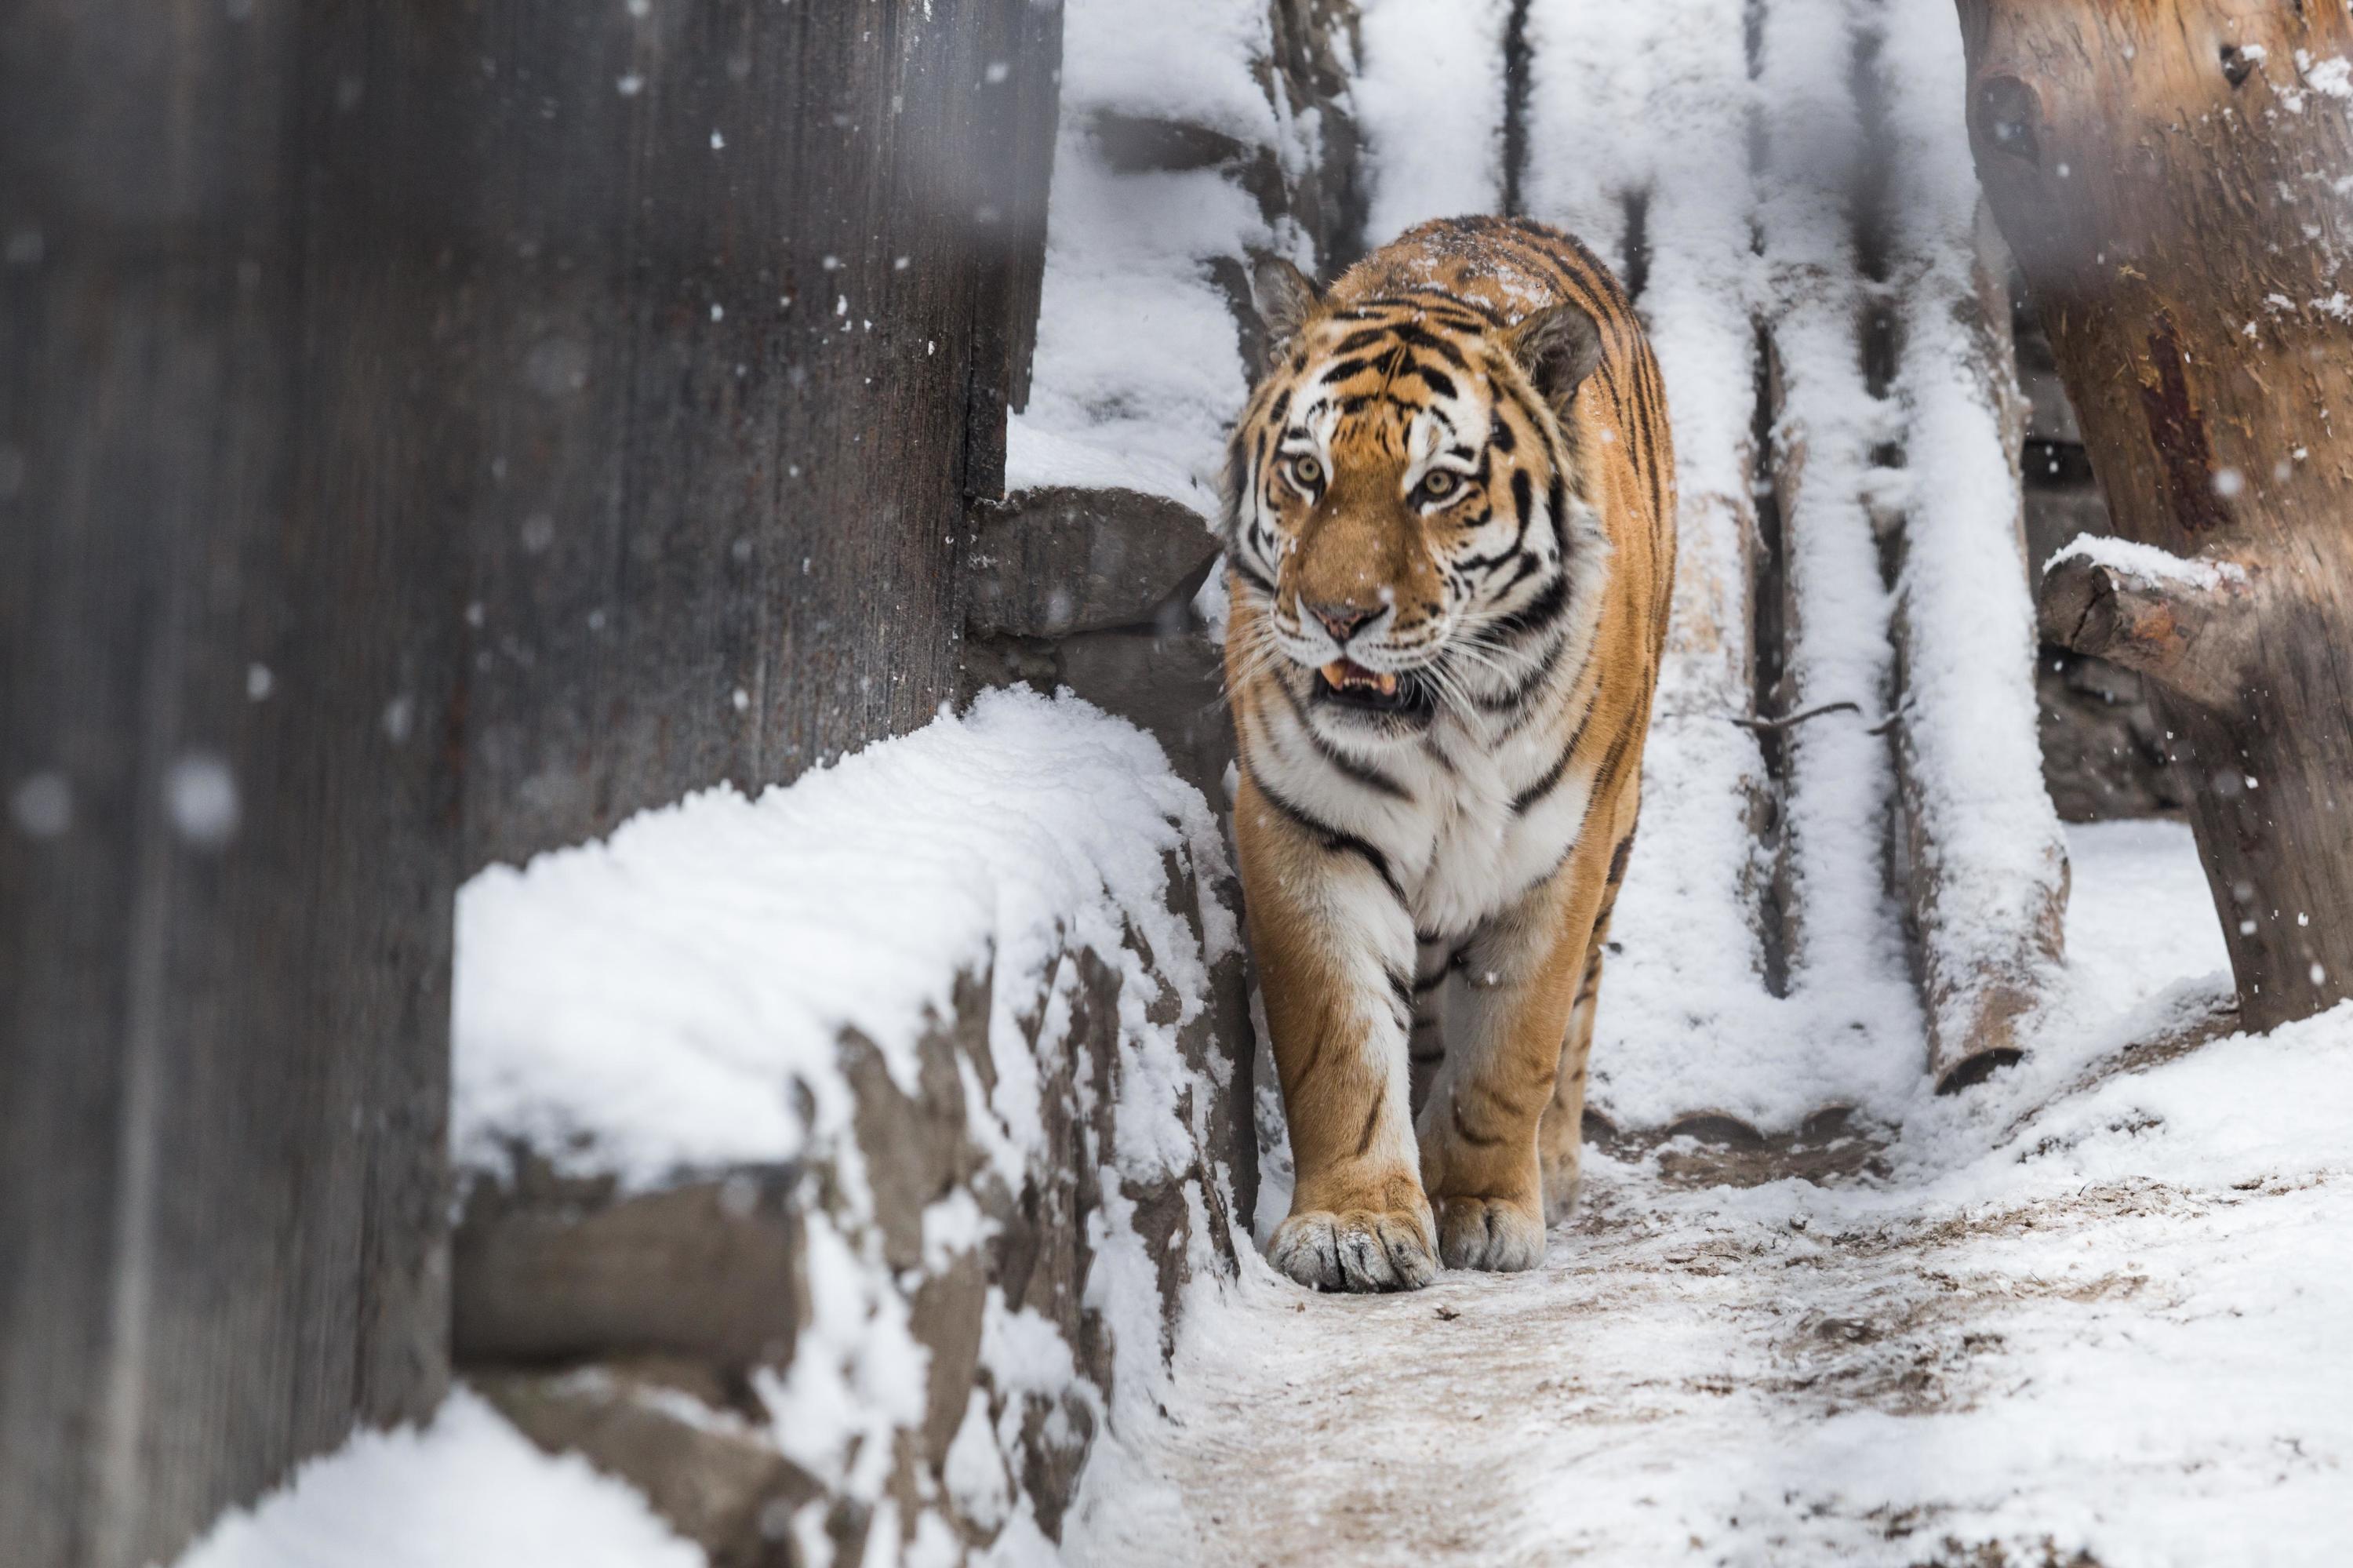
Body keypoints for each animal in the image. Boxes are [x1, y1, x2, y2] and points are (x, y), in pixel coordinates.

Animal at [1214, 214, 1675, 1290]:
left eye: (1436, 487)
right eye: (1308, 471)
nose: (1337, 616)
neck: (1441, 732)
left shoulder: (1561, 852)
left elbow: (1512, 1046)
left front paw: (1482, 1206)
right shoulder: (1306, 826)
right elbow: (1340, 1040)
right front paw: (1356, 1228)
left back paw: (1553, 1166)